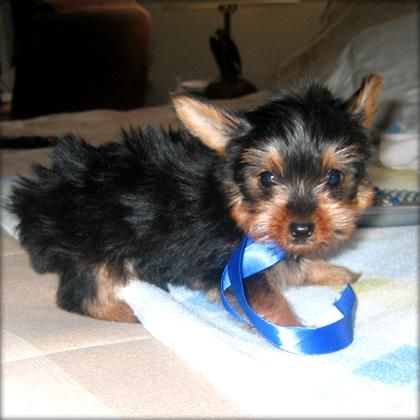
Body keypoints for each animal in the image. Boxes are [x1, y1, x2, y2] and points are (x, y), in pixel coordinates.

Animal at [9, 74, 384, 326]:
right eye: (267, 178)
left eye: (334, 178)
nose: (302, 228)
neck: (235, 203)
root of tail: (35, 193)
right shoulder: (233, 270)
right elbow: (268, 301)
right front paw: (289, 331)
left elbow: (297, 262)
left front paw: (333, 270)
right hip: (93, 241)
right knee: (81, 291)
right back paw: (123, 312)